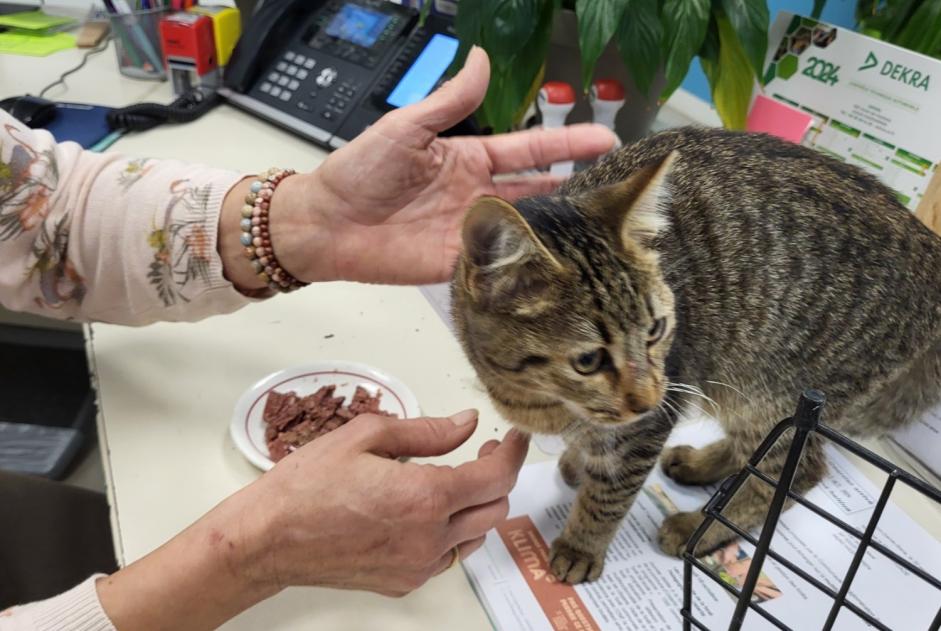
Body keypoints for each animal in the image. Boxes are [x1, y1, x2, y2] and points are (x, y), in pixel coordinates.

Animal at [448, 126, 940, 584]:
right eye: (588, 361)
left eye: (657, 330)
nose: (647, 398)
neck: (539, 400)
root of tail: (929, 246)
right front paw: (578, 459)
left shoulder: (653, 419)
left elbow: (609, 495)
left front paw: (581, 545)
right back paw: (701, 464)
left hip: (774, 388)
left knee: (796, 470)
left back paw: (696, 529)